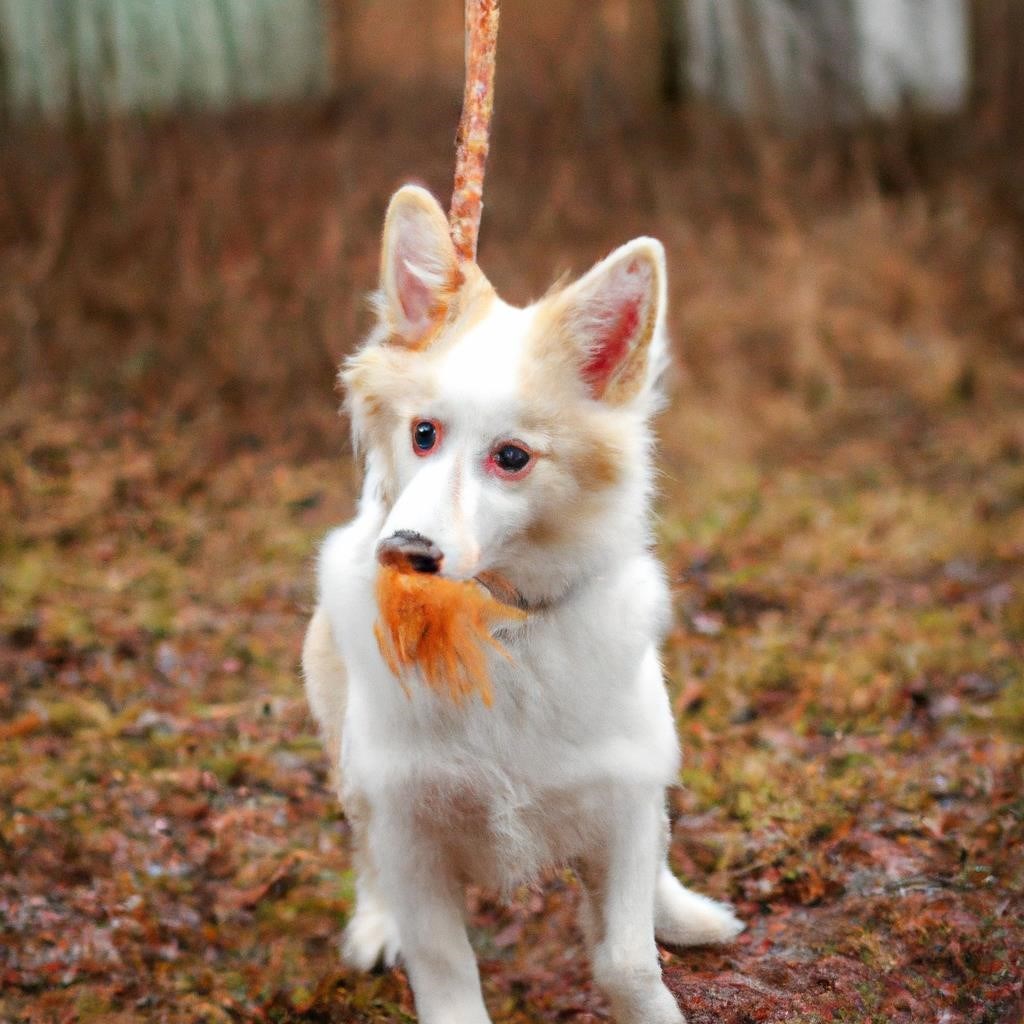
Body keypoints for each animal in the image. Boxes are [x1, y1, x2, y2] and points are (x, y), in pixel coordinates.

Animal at [299, 186, 741, 1024]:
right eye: (423, 433)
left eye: (512, 458)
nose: (403, 548)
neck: (499, 629)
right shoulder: (410, 831)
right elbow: (446, 975)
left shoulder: (622, 800)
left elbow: (627, 959)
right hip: (350, 760)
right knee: (362, 846)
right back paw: (374, 924)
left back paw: (684, 912)